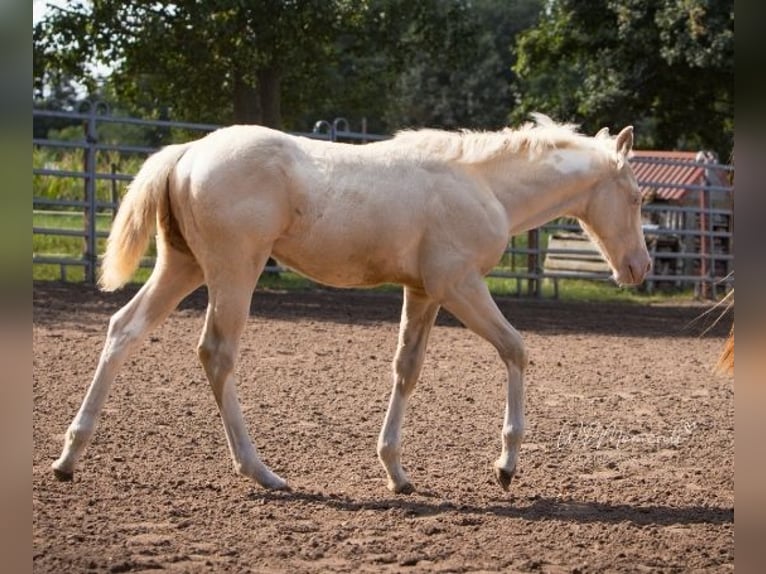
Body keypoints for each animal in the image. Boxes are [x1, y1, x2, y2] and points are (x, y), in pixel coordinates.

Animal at [51, 113, 651, 494]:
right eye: (637, 195)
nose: (640, 268)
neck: (481, 183)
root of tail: (189, 152)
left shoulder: (423, 292)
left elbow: (407, 370)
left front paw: (396, 472)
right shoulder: (459, 285)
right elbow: (516, 349)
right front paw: (505, 466)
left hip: (183, 265)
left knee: (124, 329)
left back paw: (68, 457)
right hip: (233, 270)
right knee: (216, 353)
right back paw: (260, 471)